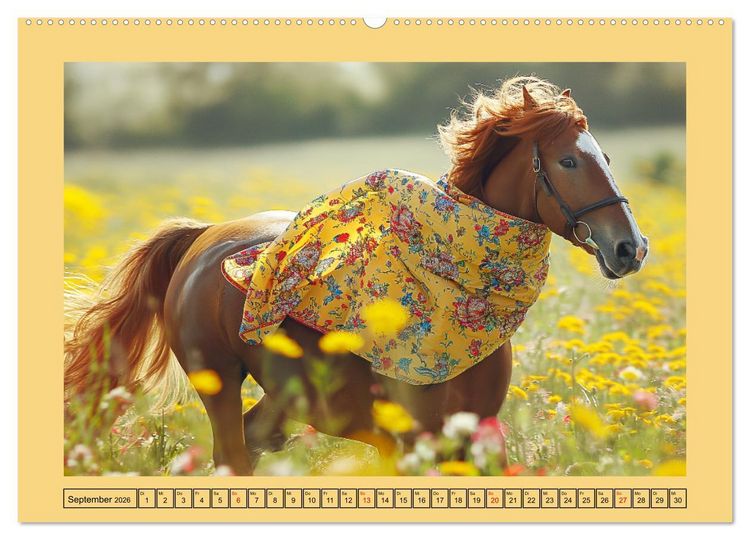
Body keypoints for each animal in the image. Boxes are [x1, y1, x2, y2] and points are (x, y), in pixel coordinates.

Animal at [65, 76, 649, 475]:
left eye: (606, 156)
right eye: (569, 162)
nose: (630, 247)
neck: (450, 290)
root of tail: (204, 237)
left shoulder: (474, 438)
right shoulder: (414, 441)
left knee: (253, 441)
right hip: (219, 382)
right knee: (232, 455)